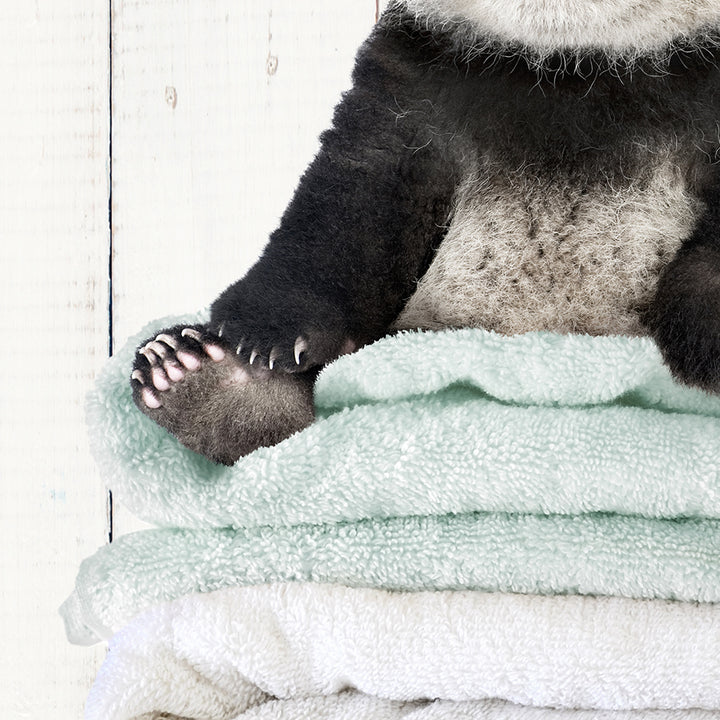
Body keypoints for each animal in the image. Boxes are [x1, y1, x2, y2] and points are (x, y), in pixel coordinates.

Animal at [128, 0, 720, 466]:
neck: (569, 61)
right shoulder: (412, 84)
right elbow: (349, 206)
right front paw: (264, 329)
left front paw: (703, 343)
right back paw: (202, 381)